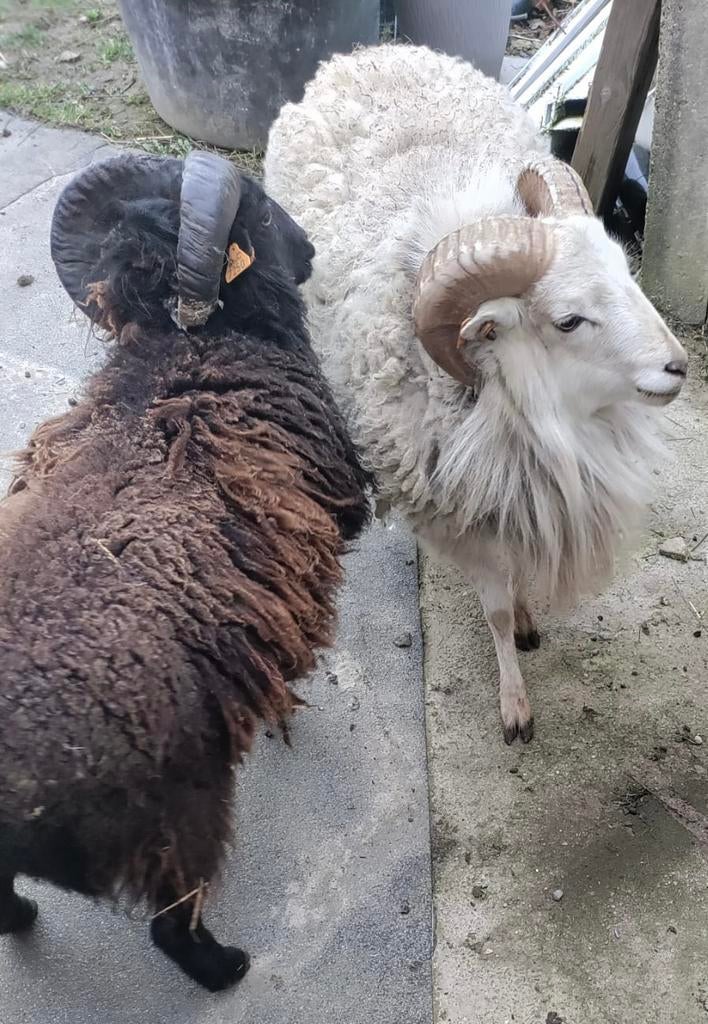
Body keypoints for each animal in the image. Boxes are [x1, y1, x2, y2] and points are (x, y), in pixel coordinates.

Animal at [0, 150, 370, 991]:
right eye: (257, 211)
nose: (310, 252)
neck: (184, 352)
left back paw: (24, 918)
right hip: (181, 808)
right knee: (171, 925)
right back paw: (225, 967)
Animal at [264, 43, 688, 744]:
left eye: (626, 273)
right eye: (568, 320)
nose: (677, 366)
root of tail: (368, 51)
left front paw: (527, 617)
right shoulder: (465, 517)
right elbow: (493, 611)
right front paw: (515, 702)